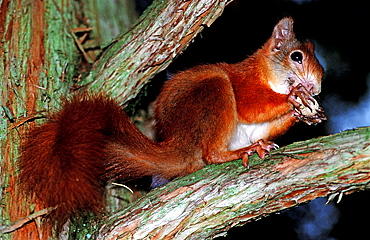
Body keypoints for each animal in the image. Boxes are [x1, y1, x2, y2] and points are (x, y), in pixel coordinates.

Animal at [18, 17, 326, 233]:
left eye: (321, 68)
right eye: (296, 57)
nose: (316, 87)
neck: (266, 74)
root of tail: (181, 148)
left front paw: (307, 114)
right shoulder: (244, 84)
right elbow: (253, 106)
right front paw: (293, 98)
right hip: (213, 93)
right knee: (210, 154)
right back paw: (240, 151)